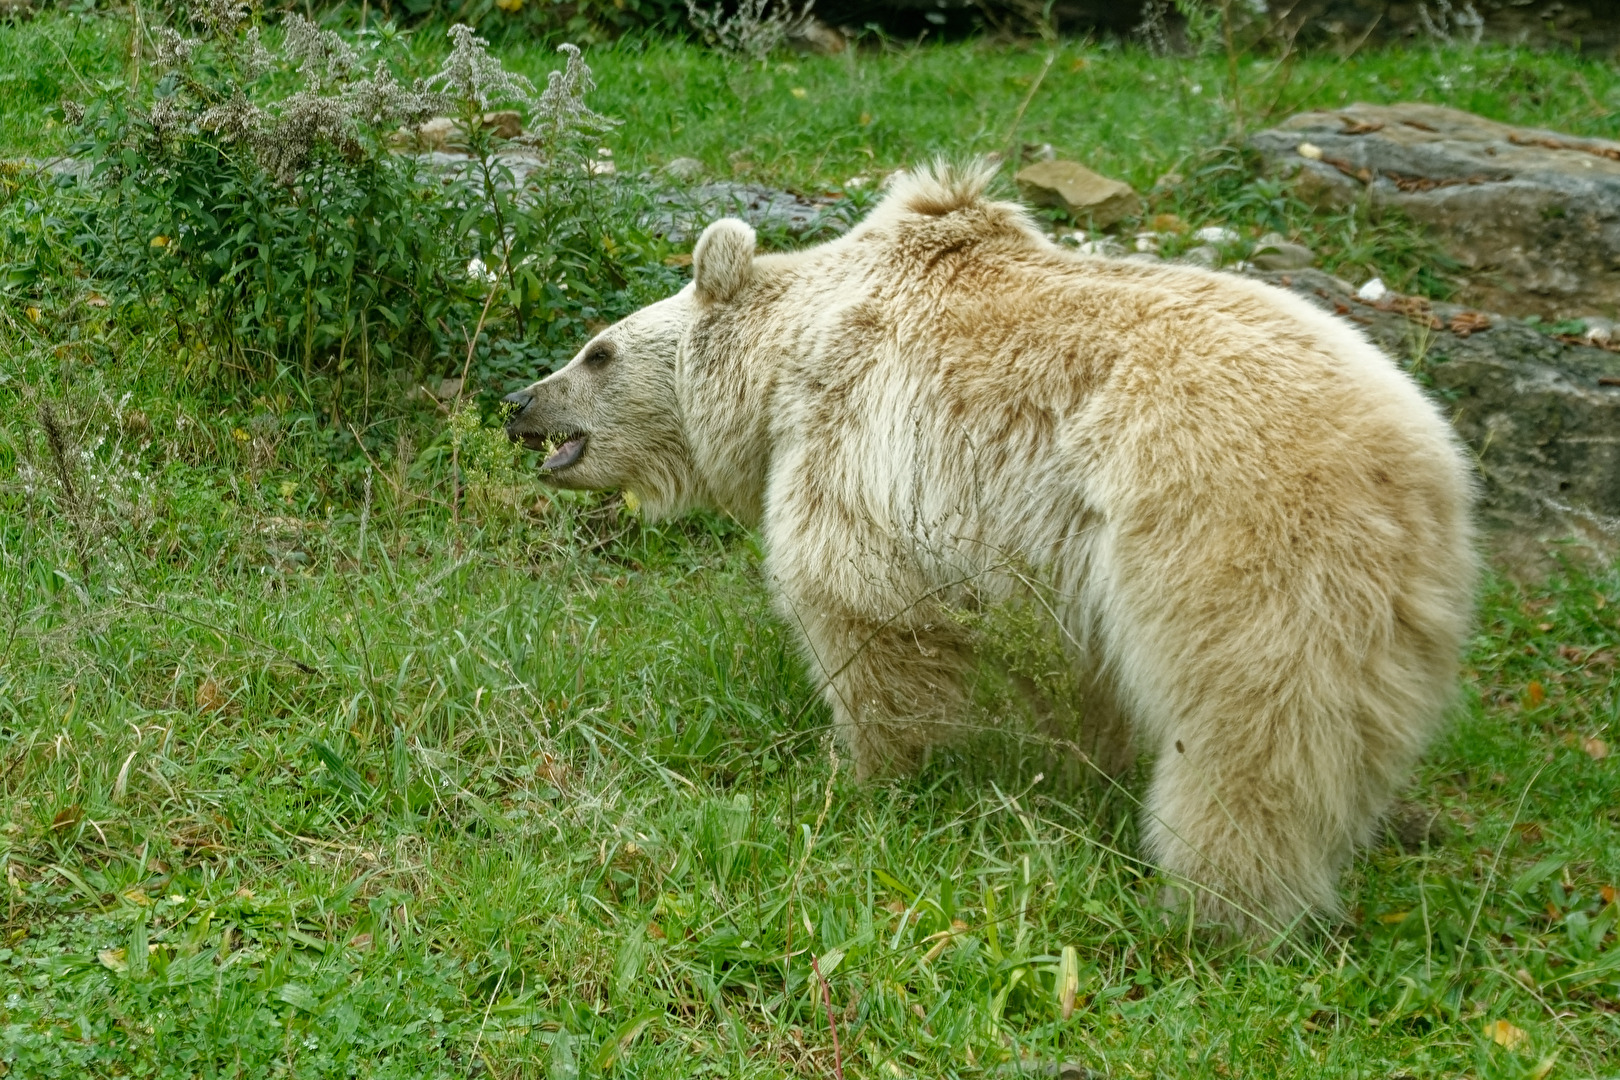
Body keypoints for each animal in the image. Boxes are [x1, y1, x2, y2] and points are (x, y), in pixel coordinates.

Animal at [505, 162, 1483, 939]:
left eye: (596, 351)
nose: (521, 402)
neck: (787, 363)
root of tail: (1423, 459)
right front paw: (1075, 761)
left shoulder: (858, 439)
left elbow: (859, 608)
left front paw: (856, 773)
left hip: (1233, 538)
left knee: (1251, 735)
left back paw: (1212, 908)